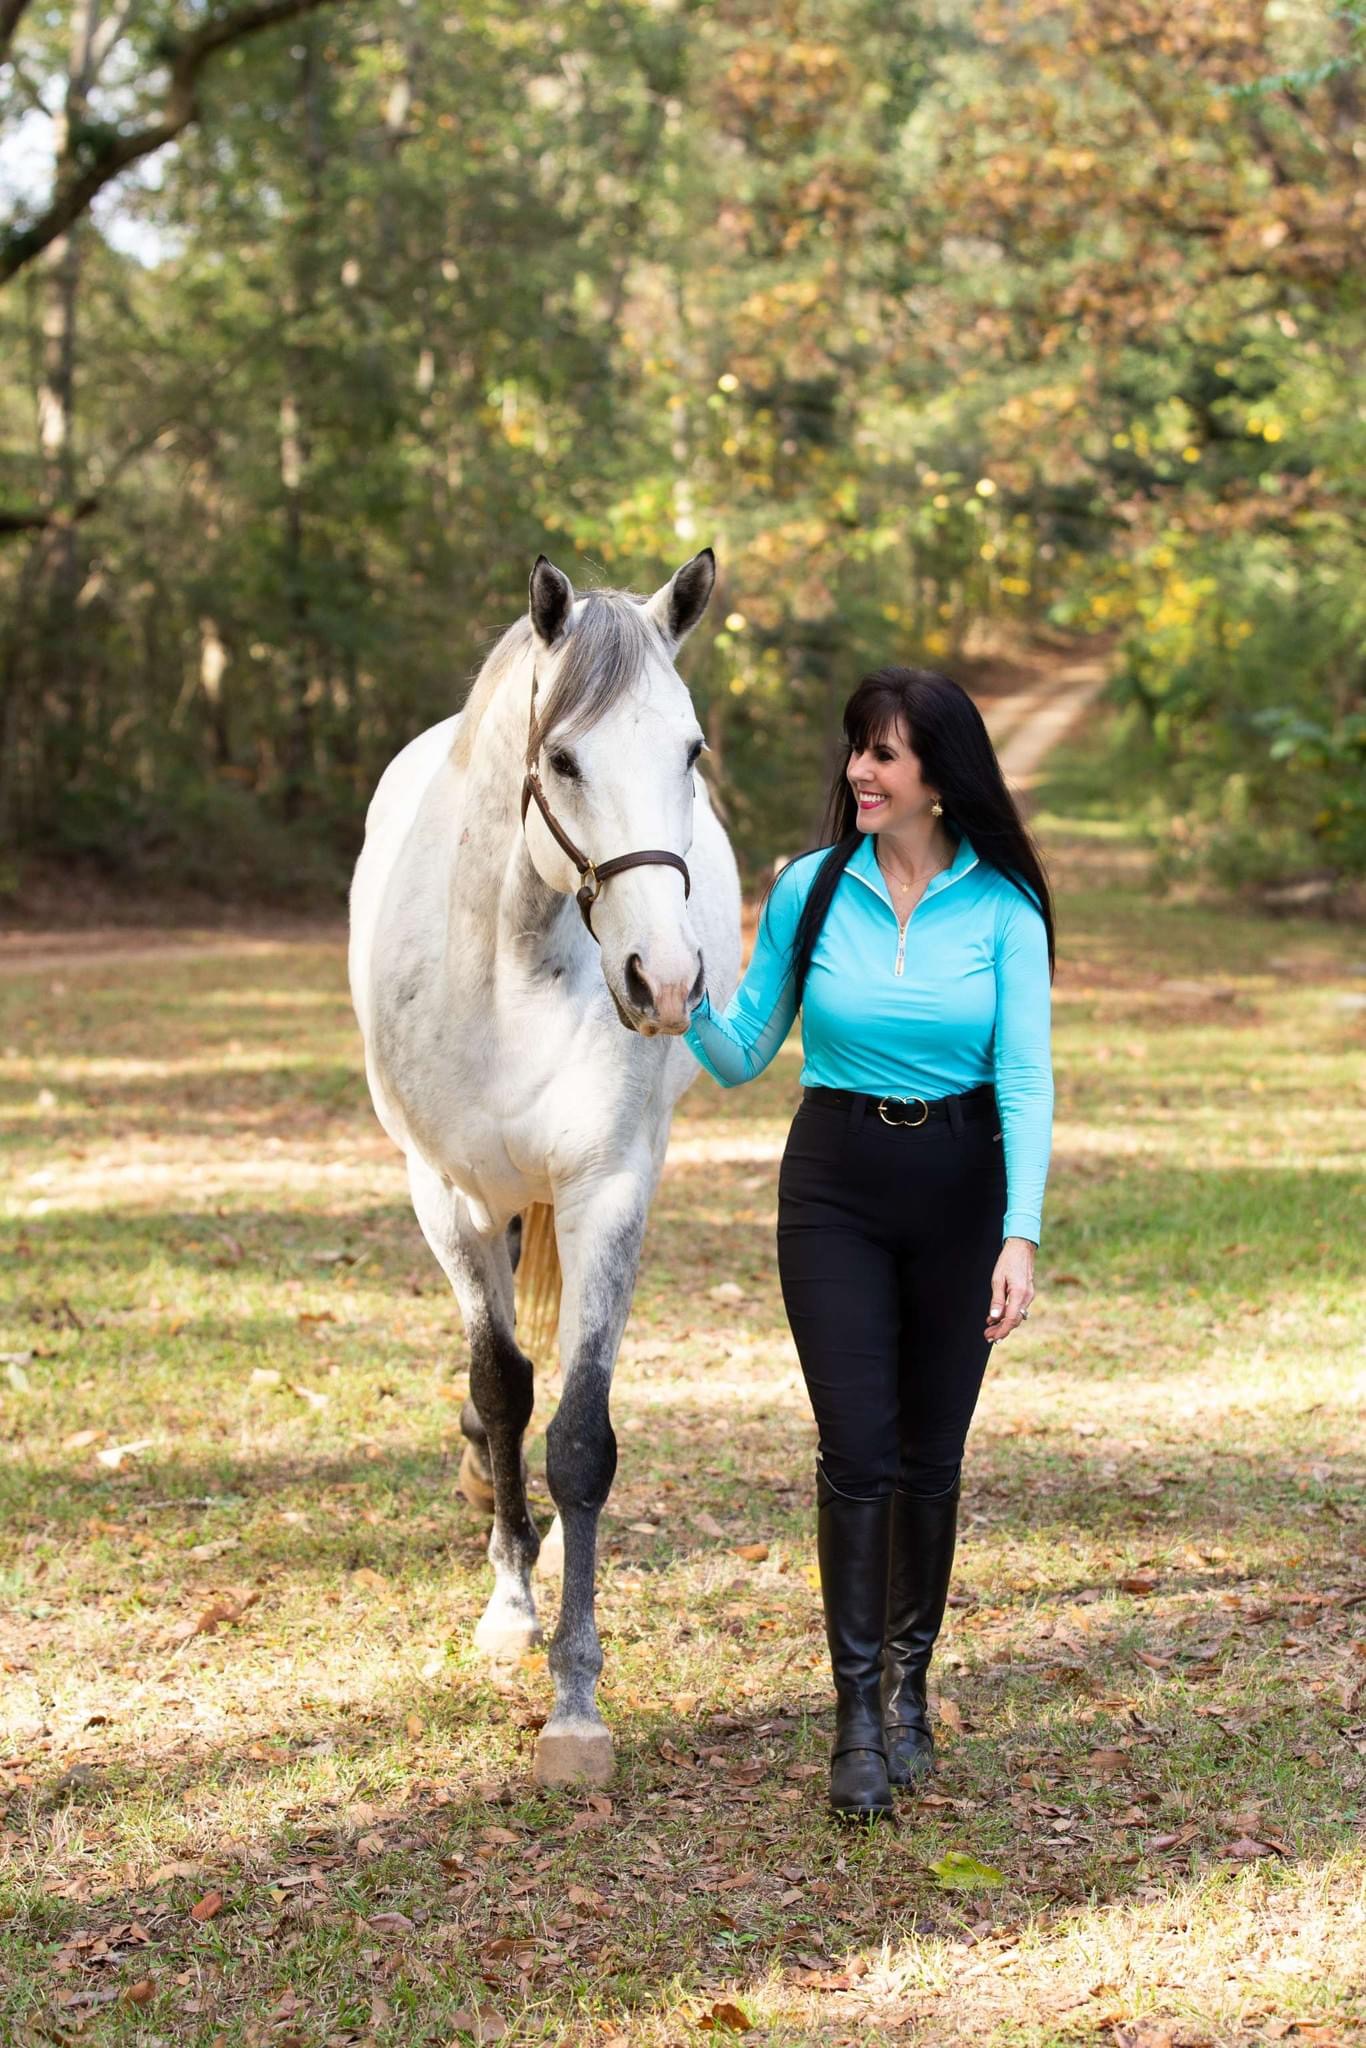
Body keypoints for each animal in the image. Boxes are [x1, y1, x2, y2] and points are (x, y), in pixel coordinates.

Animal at [348, 552, 741, 1785]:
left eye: (690, 752)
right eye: (563, 758)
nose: (666, 981)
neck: (513, 964)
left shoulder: (607, 1188)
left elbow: (579, 1432)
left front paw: (575, 1698)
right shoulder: (447, 1197)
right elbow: (501, 1386)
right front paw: (512, 1603)